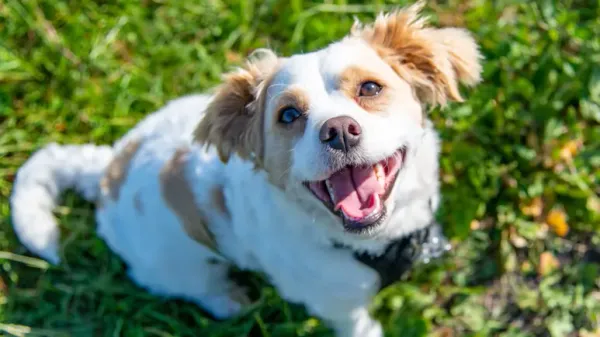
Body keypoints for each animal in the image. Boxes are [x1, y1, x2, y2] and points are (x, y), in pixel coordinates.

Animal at [10, 3, 482, 336]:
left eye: (370, 88)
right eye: (288, 115)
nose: (338, 131)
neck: (369, 243)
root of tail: (107, 169)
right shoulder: (338, 306)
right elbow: (363, 326)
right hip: (173, 265)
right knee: (193, 285)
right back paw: (228, 298)